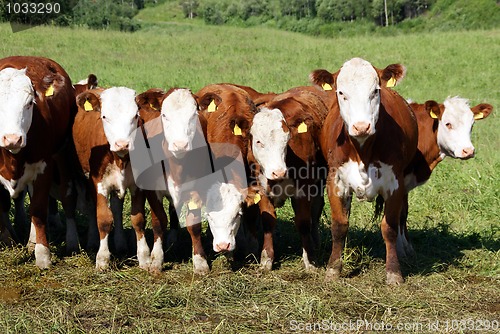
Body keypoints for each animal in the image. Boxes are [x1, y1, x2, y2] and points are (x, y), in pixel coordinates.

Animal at [0, 55, 76, 268]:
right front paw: (6, 240)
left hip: (63, 153)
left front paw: (42, 254)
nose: (12, 138)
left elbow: (39, 209)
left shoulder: (43, 168)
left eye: (29, 103)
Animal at [72, 87, 150, 272]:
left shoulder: (137, 185)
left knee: (116, 208)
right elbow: (103, 219)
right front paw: (102, 259)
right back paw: (93, 240)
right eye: (105, 116)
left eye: (135, 116)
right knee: (92, 207)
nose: (122, 144)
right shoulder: (99, 183)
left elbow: (138, 219)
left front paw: (144, 257)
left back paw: (120, 243)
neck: (120, 158)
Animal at [249, 85, 330, 270]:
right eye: (258, 142)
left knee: (316, 210)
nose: (278, 172)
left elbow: (303, 222)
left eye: (286, 141)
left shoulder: (303, 190)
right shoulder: (261, 189)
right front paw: (267, 259)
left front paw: (310, 260)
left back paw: (315, 242)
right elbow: (268, 221)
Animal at [308, 58, 418, 284]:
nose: (361, 127)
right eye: (341, 92)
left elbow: (390, 227)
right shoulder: (335, 182)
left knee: (402, 215)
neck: (362, 149)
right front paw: (333, 269)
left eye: (375, 91)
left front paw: (394, 273)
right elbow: (339, 225)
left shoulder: (395, 184)